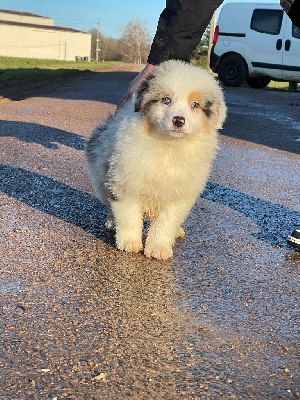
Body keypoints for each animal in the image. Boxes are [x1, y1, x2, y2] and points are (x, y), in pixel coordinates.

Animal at [84, 58, 225, 260]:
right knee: (111, 205)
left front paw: (158, 247)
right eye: (166, 100)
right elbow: (128, 215)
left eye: (195, 105)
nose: (178, 120)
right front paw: (129, 242)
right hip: (102, 179)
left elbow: (166, 222)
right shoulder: (125, 182)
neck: (169, 146)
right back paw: (112, 223)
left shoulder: (180, 195)